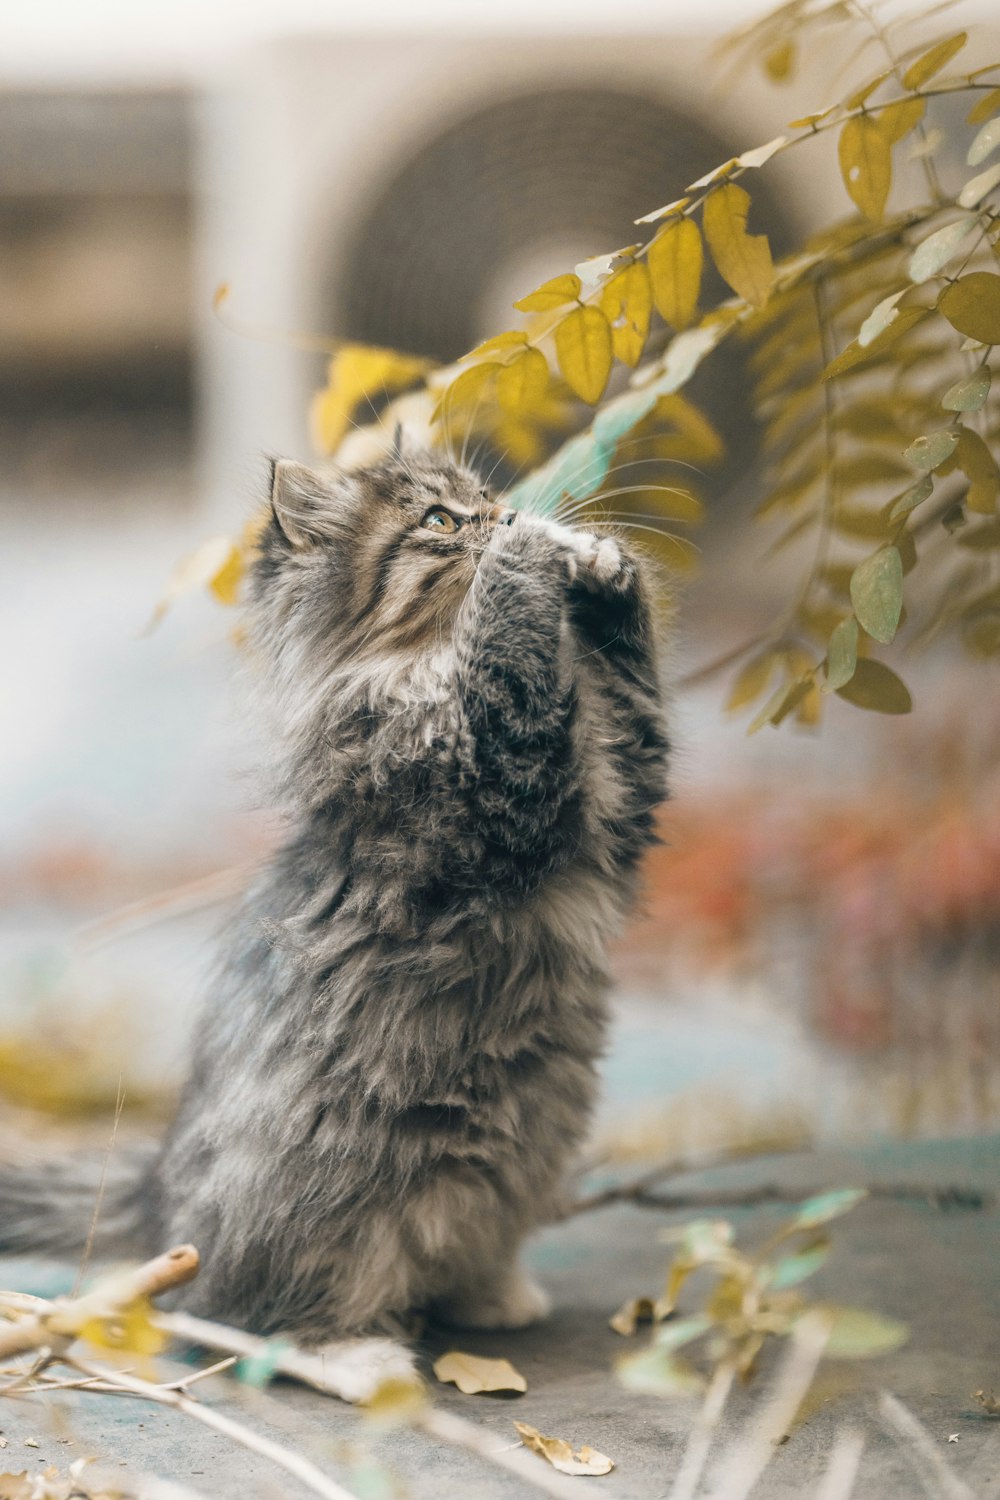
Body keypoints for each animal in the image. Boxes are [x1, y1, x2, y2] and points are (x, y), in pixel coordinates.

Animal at [3, 450, 671, 1398]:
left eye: (485, 496)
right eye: (440, 521)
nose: (504, 515)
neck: (417, 674)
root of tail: (160, 1198)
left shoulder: (621, 798)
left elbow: (629, 690)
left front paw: (601, 565)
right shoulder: (503, 789)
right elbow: (511, 660)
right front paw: (530, 556)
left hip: (518, 1168)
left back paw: (495, 1295)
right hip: (328, 1209)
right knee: (242, 1319)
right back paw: (363, 1361)